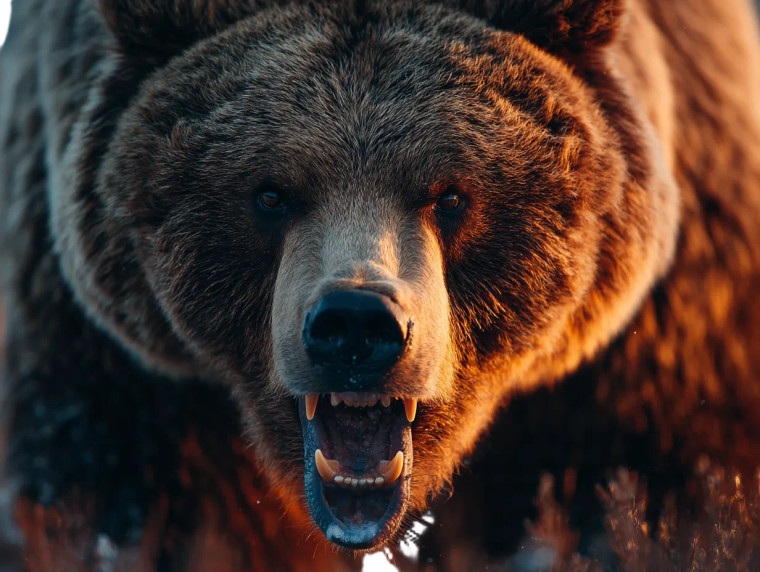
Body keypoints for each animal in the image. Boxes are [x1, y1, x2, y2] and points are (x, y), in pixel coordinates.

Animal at [2, 0, 760, 568]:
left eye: (451, 194)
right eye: (270, 192)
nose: (357, 326)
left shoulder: (650, 352)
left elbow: (636, 483)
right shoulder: (117, 368)